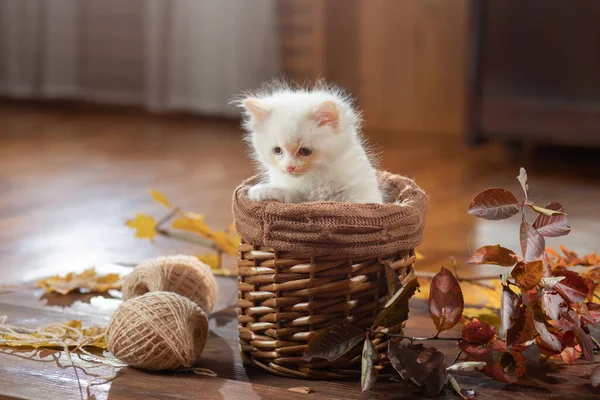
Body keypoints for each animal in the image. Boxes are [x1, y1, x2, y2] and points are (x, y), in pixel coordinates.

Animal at [233, 83, 380, 205]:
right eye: (277, 150)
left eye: (305, 151)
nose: (289, 167)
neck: (314, 180)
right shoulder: (298, 196)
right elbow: (290, 193)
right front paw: (263, 190)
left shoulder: (362, 194)